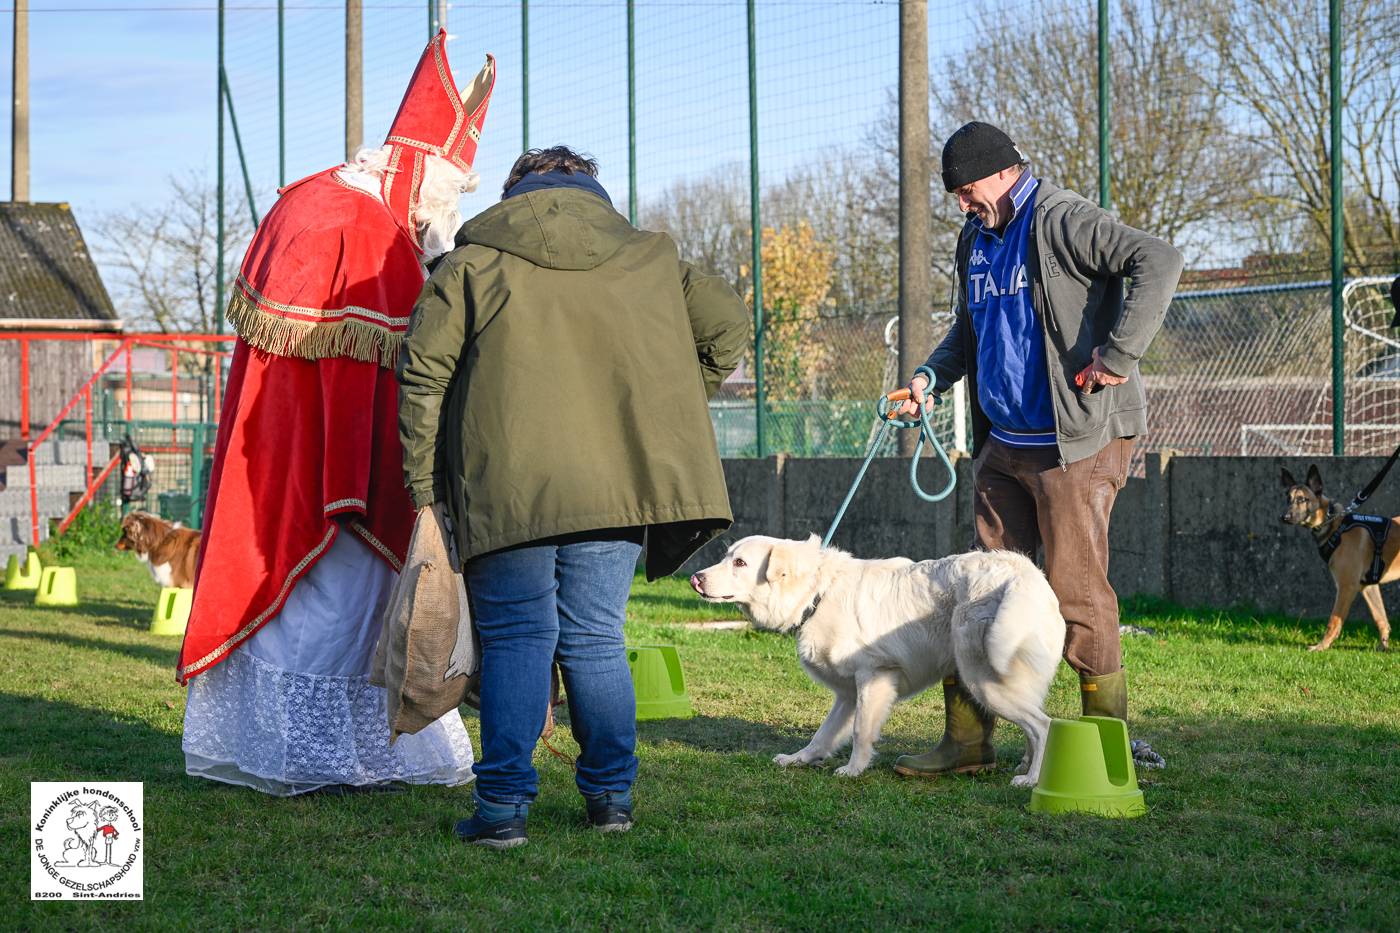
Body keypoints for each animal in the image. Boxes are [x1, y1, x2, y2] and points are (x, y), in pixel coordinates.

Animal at [694, 535, 1064, 778]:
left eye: (740, 562)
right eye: (727, 556)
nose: (695, 578)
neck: (818, 594)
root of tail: (1023, 572)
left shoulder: (874, 676)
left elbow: (861, 731)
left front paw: (852, 770)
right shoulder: (847, 693)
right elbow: (823, 734)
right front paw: (800, 759)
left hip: (984, 681)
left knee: (1043, 726)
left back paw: (1032, 780)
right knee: (1033, 727)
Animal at [1282, 462, 1394, 650]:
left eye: (1302, 499)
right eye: (1288, 499)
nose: (1284, 517)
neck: (1334, 525)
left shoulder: (1346, 586)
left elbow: (1334, 621)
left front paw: (1321, 647)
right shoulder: (1368, 586)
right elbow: (1381, 619)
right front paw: (1383, 648)